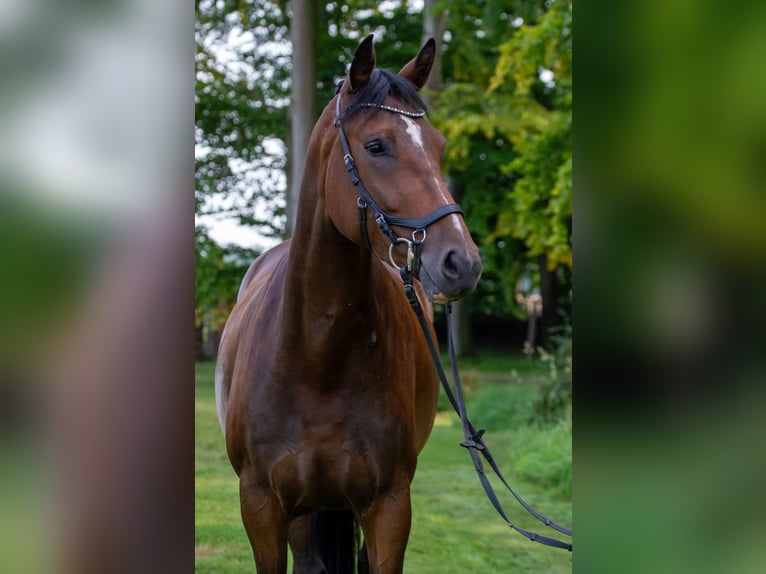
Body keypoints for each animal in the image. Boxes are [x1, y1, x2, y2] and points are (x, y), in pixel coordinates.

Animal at [215, 34, 482, 574]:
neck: (318, 355)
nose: (461, 262)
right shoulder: (261, 506)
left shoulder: (389, 505)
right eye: (377, 145)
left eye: (440, 146)